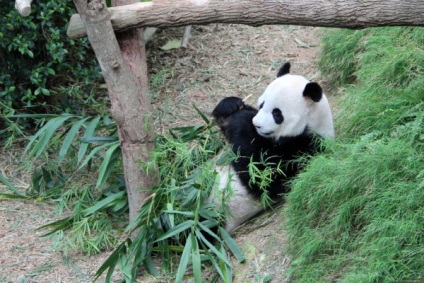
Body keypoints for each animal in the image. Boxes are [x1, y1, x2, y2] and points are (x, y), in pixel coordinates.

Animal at [210, 62, 332, 233]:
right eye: (262, 104)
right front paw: (232, 106)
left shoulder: (306, 150)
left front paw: (240, 122)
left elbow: (263, 175)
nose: (256, 124)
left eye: (277, 114)